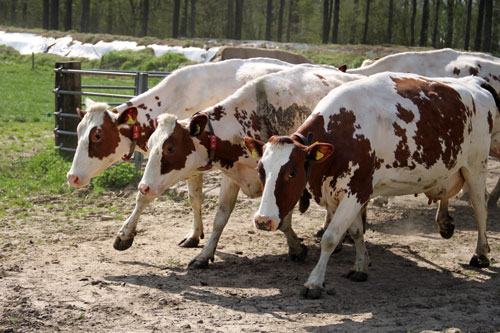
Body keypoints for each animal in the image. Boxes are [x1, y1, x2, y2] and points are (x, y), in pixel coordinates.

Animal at [66, 58, 292, 248]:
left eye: (97, 135)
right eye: (78, 131)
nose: (72, 177)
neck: (175, 99)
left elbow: (143, 196)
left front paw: (124, 234)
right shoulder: (189, 167)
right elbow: (194, 198)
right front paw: (194, 235)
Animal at [137, 64, 364, 268]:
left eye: (170, 148)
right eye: (150, 144)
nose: (143, 187)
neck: (249, 119)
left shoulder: (289, 180)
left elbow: (284, 221)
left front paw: (297, 249)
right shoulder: (232, 176)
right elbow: (220, 217)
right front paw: (204, 255)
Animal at [248, 72, 500, 298]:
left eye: (292, 173)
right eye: (261, 170)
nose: (263, 221)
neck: (343, 135)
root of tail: (473, 82)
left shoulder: (356, 191)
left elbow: (330, 238)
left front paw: (314, 282)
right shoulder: (346, 193)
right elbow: (356, 231)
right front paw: (360, 266)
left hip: (475, 167)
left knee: (480, 209)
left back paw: (481, 254)